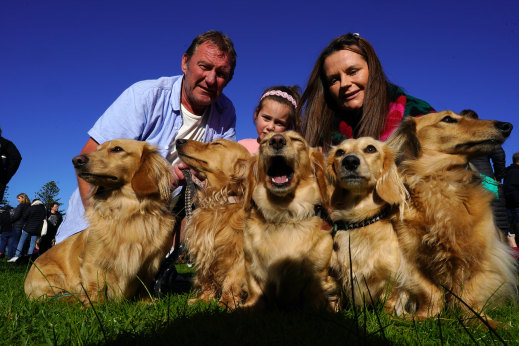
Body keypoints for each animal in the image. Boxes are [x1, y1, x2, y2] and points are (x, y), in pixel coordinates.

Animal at [24, 139, 175, 304]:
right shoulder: (93, 261)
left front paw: (147, 302)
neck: (126, 213)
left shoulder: (150, 264)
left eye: (117, 149)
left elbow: (144, 285)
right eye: (97, 149)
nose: (76, 160)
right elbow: (97, 285)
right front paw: (95, 304)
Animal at [243, 131, 338, 310]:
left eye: (296, 139)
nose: (277, 141)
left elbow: (314, 296)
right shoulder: (252, 268)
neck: (284, 215)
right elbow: (256, 293)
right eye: (264, 142)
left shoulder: (317, 274)